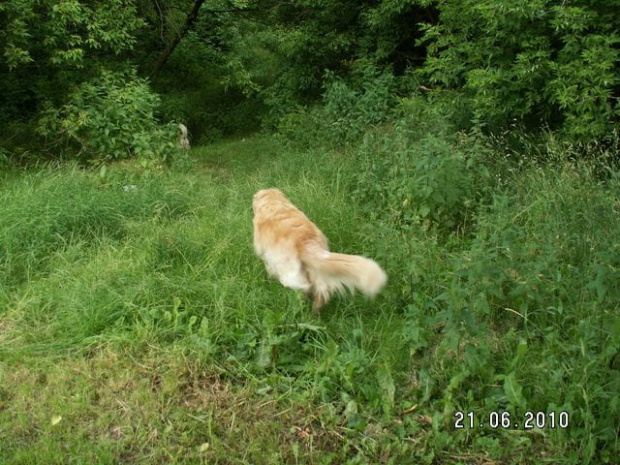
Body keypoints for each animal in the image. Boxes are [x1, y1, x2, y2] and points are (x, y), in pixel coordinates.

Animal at [251, 187, 386, 310]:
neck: (274, 203)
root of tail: (305, 241)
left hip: (290, 275)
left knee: (303, 289)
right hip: (318, 269)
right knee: (322, 291)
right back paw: (315, 310)